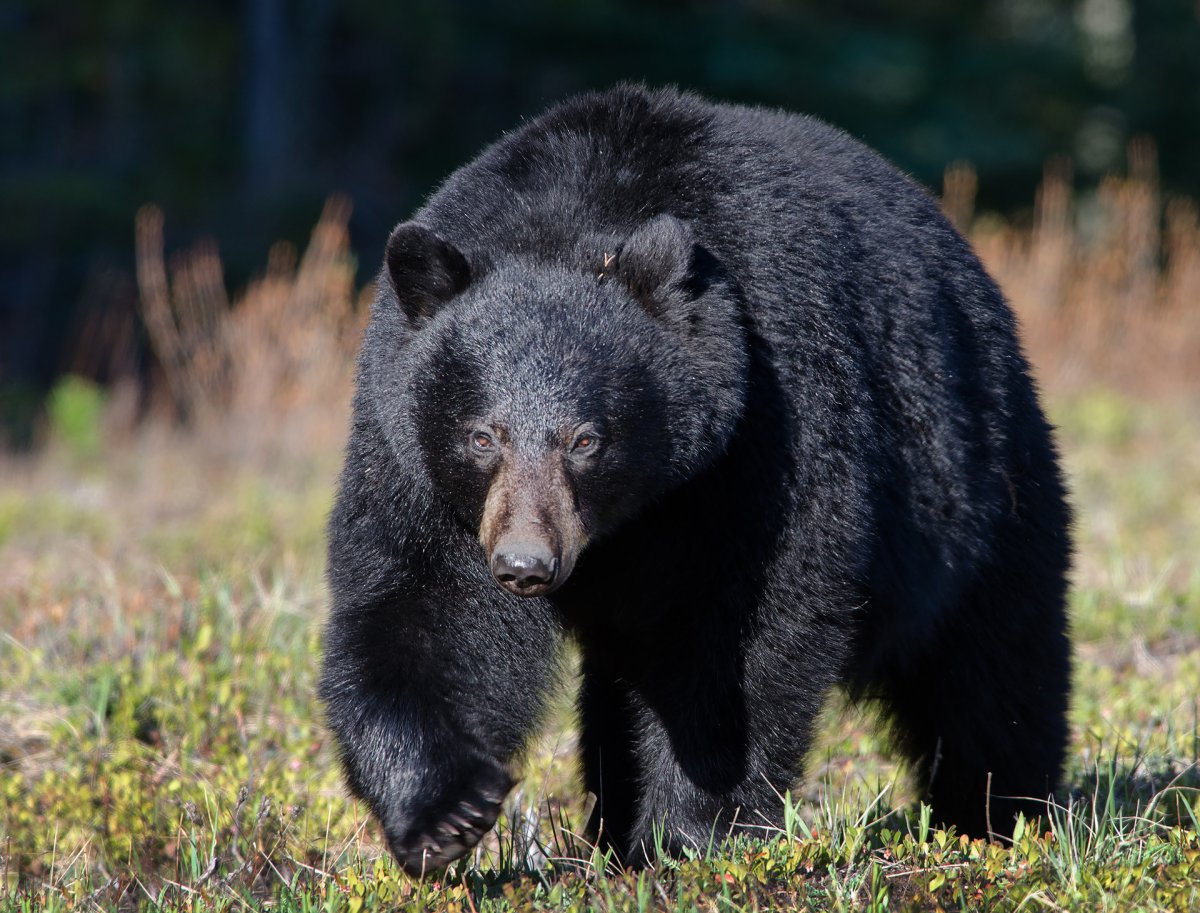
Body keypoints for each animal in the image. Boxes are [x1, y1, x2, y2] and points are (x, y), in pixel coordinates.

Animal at [319, 85, 1070, 878]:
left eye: (586, 439)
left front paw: (692, 833)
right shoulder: (413, 458)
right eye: (482, 436)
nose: (526, 564)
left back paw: (1002, 815)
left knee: (994, 664)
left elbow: (750, 629)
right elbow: (420, 604)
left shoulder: (764, 426)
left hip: (981, 482)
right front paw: (446, 813)